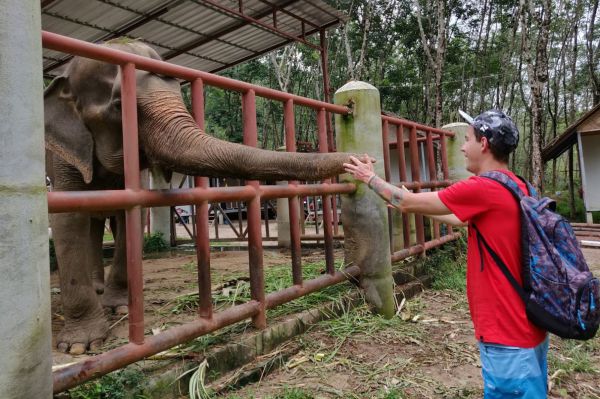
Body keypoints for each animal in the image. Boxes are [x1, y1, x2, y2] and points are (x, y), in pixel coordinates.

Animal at [45, 39, 360, 354]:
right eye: (120, 106)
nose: (359, 159)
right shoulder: (62, 153)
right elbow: (67, 219)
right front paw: (79, 347)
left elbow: (129, 216)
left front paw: (119, 309)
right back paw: (95, 291)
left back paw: (101, 290)